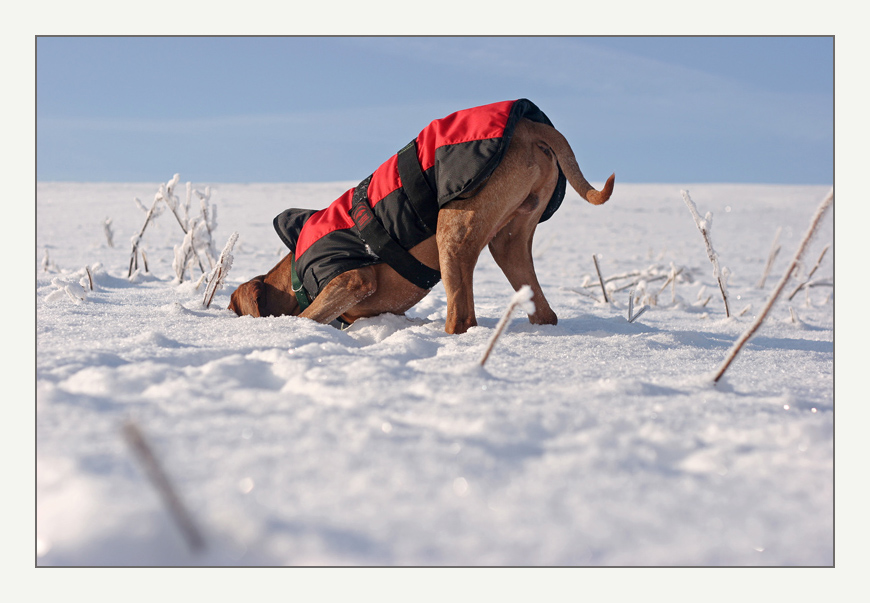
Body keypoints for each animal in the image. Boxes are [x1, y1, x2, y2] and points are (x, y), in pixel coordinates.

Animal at [228, 100, 616, 336]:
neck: (293, 274)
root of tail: (529, 126)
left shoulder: (352, 279)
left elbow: (306, 314)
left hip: (454, 230)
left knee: (462, 317)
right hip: (510, 239)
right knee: (542, 311)